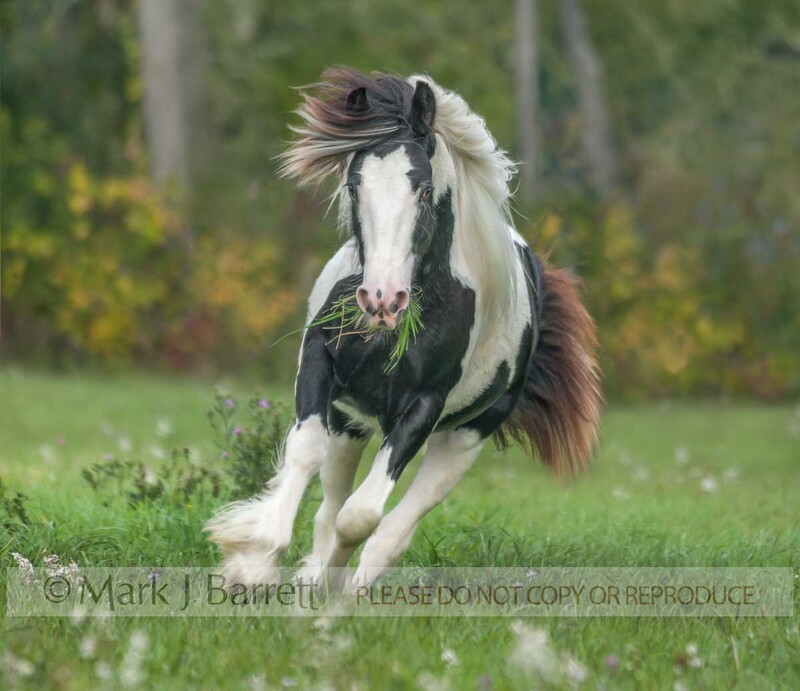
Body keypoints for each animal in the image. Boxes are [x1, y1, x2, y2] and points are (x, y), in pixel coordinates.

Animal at [206, 67, 602, 590]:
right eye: (355, 186)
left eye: (422, 189)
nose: (382, 300)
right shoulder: (320, 362)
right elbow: (305, 453)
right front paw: (253, 563)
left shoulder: (423, 407)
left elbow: (362, 518)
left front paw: (313, 588)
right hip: (351, 421)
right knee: (330, 508)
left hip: (464, 437)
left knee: (389, 532)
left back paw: (339, 596)